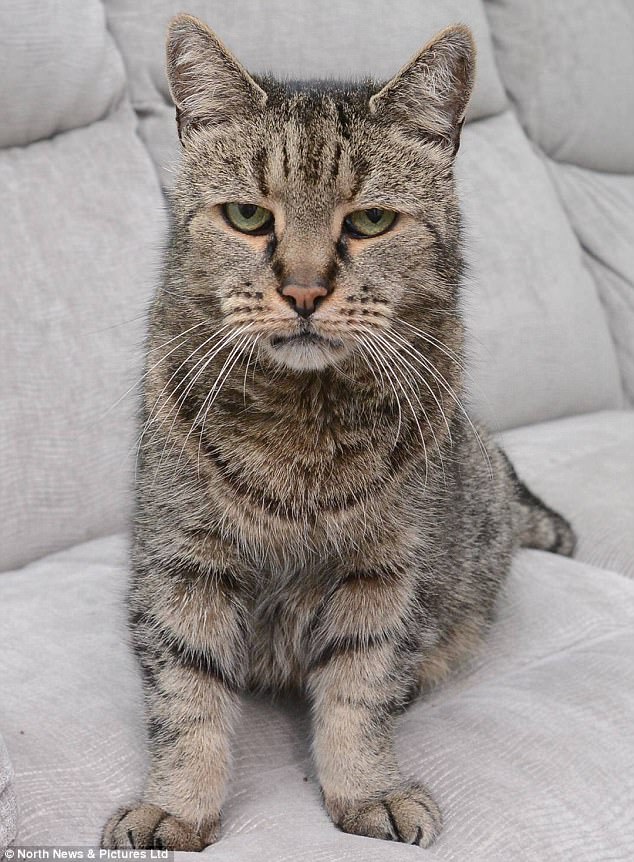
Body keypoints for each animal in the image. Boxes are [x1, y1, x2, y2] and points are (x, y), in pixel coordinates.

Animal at [101, 11, 576, 852]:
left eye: (371, 221)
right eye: (249, 216)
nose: (302, 290)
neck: (302, 422)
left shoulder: (384, 572)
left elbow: (360, 689)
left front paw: (366, 789)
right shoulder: (183, 560)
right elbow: (188, 696)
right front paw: (177, 805)